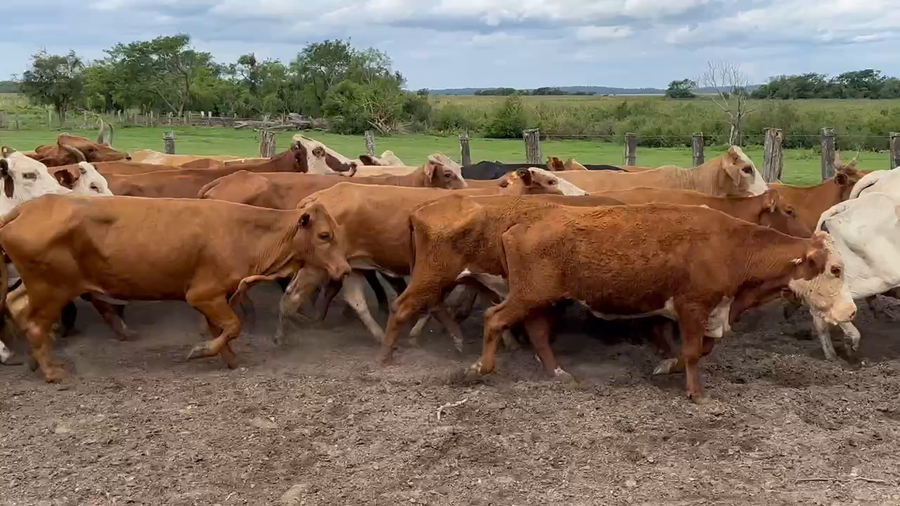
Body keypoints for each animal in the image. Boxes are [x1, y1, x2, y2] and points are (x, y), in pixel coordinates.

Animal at [0, 194, 351, 382]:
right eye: (324, 235)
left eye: (336, 230)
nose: (345, 269)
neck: (246, 233)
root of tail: (29, 207)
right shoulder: (202, 294)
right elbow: (232, 327)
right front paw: (202, 351)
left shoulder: (216, 297)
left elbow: (223, 329)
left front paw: (230, 359)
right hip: (52, 289)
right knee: (34, 325)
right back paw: (51, 371)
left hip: (41, 288)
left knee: (17, 305)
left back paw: (33, 361)